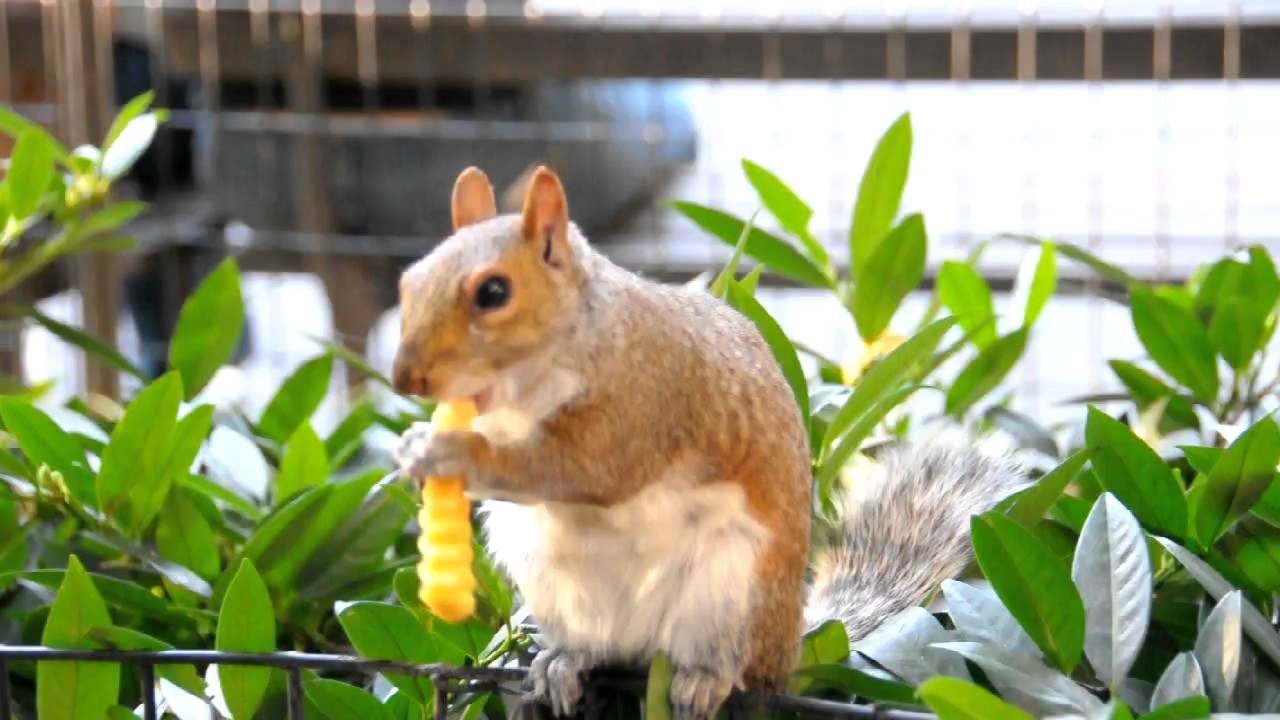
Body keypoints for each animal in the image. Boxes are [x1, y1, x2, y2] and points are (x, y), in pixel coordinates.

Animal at [392, 165, 1028, 720]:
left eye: (494, 292)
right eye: (408, 282)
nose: (406, 380)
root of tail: (791, 647)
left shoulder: (645, 399)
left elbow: (586, 468)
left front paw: (446, 452)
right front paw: (417, 450)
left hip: (731, 589)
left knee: (735, 667)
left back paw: (705, 679)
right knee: (593, 647)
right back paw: (562, 661)